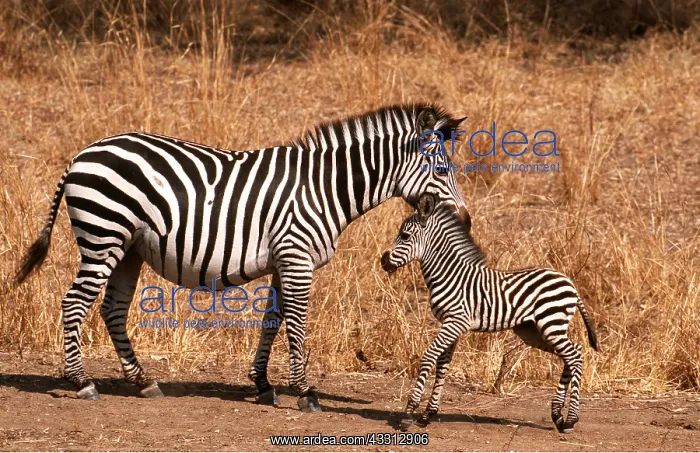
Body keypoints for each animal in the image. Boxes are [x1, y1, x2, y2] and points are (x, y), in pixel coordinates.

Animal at [15, 103, 469, 411]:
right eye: (442, 172)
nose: (465, 219)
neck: (324, 189)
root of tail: (82, 154)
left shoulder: (284, 260)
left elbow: (273, 319)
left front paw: (263, 384)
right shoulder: (297, 257)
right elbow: (297, 324)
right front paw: (305, 392)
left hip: (128, 248)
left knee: (112, 309)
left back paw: (142, 381)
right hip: (103, 236)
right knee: (74, 303)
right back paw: (81, 382)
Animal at [380, 194, 598, 433]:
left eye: (405, 236)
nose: (383, 261)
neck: (449, 274)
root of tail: (570, 283)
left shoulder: (455, 321)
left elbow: (429, 358)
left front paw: (409, 413)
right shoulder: (451, 323)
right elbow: (443, 364)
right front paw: (428, 414)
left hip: (551, 324)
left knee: (575, 356)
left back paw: (570, 420)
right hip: (534, 331)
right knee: (573, 353)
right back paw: (558, 415)